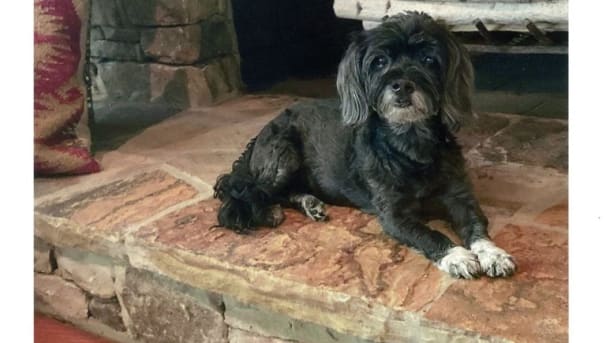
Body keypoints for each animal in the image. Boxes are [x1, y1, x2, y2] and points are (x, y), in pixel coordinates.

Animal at [214, 12, 516, 280]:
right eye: (380, 61)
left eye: (428, 59)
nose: (402, 85)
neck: (410, 142)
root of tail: (261, 132)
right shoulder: (393, 214)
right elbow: (429, 234)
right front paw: (456, 256)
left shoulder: (458, 196)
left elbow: (476, 224)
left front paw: (493, 253)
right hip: (283, 155)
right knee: (246, 189)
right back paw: (268, 211)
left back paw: (311, 204)